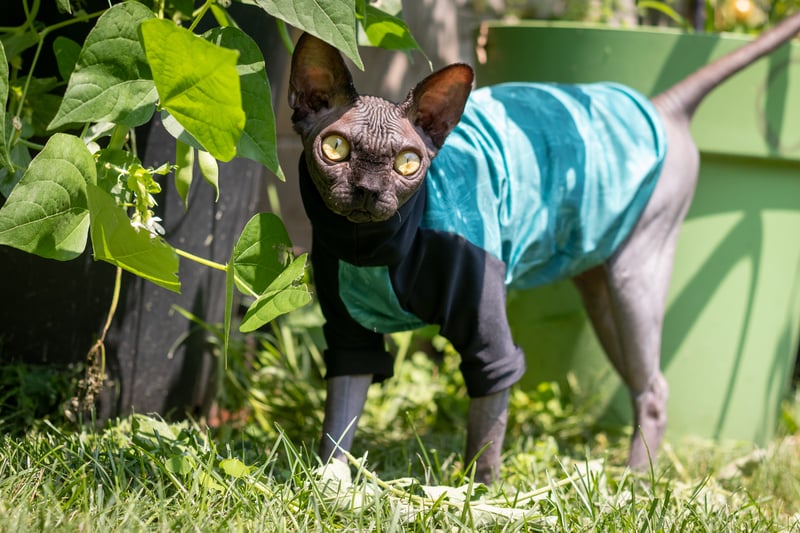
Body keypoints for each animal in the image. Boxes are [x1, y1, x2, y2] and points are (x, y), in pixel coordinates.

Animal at [290, 14, 800, 484]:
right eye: (335, 149)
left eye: (408, 163)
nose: (369, 190)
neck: (372, 249)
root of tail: (660, 107)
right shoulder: (349, 336)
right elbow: (338, 425)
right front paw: (331, 485)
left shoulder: (491, 341)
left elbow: (486, 441)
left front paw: (477, 499)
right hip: (601, 291)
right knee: (642, 384)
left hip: (635, 276)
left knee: (655, 387)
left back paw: (634, 484)